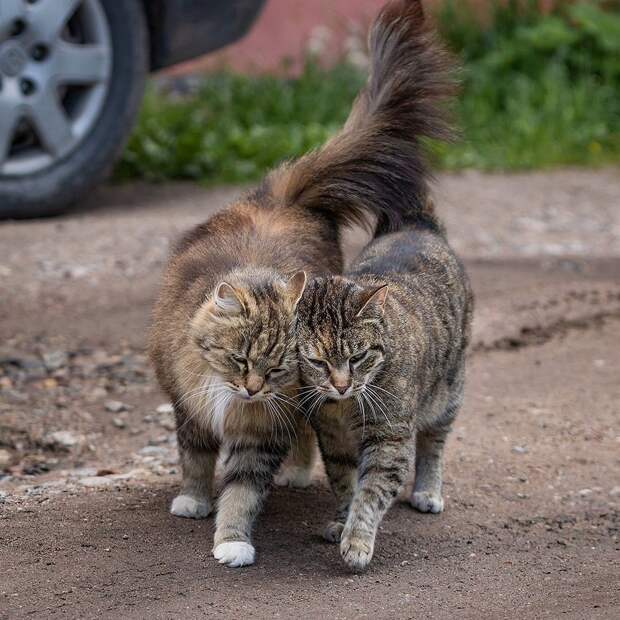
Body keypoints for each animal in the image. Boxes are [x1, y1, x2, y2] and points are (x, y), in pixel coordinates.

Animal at [296, 0, 474, 572]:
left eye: (357, 356)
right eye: (317, 360)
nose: (340, 385)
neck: (348, 409)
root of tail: (414, 222)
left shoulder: (389, 438)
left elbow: (372, 492)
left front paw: (356, 540)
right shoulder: (331, 437)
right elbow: (344, 484)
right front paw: (339, 520)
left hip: (449, 390)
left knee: (435, 442)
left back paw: (427, 490)